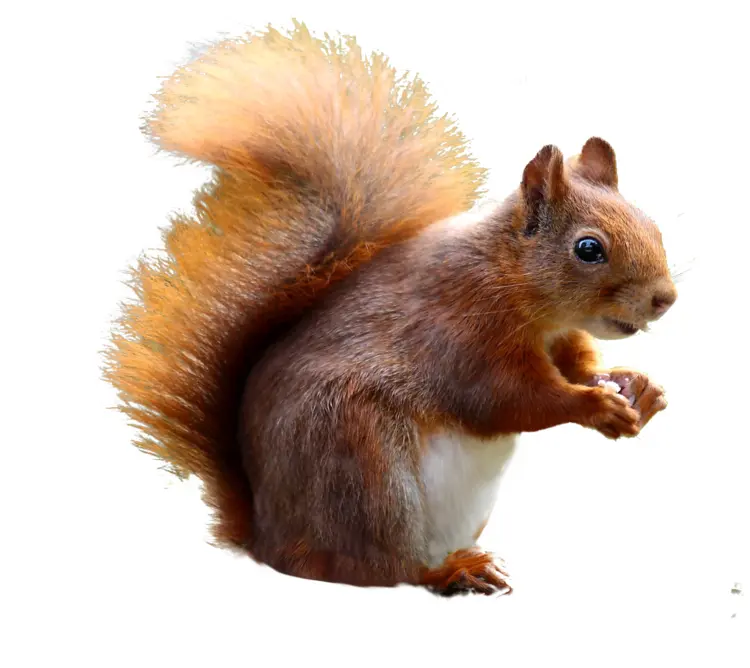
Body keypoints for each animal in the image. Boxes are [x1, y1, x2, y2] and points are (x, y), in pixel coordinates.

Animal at [105, 22, 677, 596]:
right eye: (589, 248)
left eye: (651, 223)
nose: (665, 298)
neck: (520, 290)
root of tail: (266, 541)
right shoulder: (462, 330)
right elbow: (511, 400)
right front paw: (595, 407)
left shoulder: (559, 338)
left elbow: (577, 367)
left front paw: (636, 387)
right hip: (362, 467)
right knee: (384, 569)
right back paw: (451, 571)